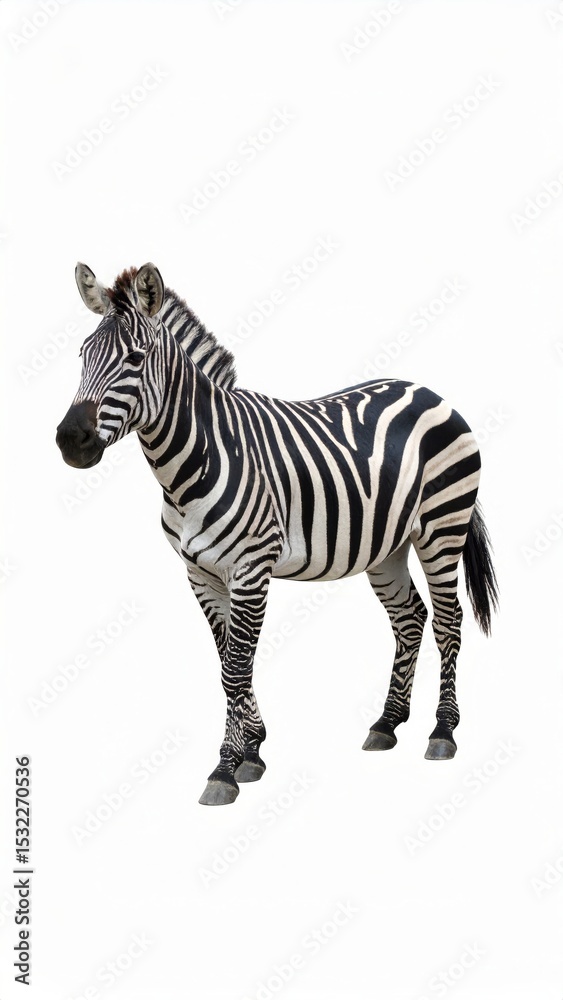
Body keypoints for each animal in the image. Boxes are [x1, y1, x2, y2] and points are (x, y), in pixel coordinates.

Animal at [56, 262, 498, 806]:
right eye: (81, 356)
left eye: (135, 359)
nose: (69, 440)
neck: (196, 459)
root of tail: (428, 391)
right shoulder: (200, 573)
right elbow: (227, 662)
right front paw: (252, 752)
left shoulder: (251, 568)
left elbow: (235, 666)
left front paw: (225, 768)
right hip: (386, 547)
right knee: (410, 618)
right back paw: (387, 723)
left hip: (442, 526)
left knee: (448, 621)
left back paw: (443, 731)